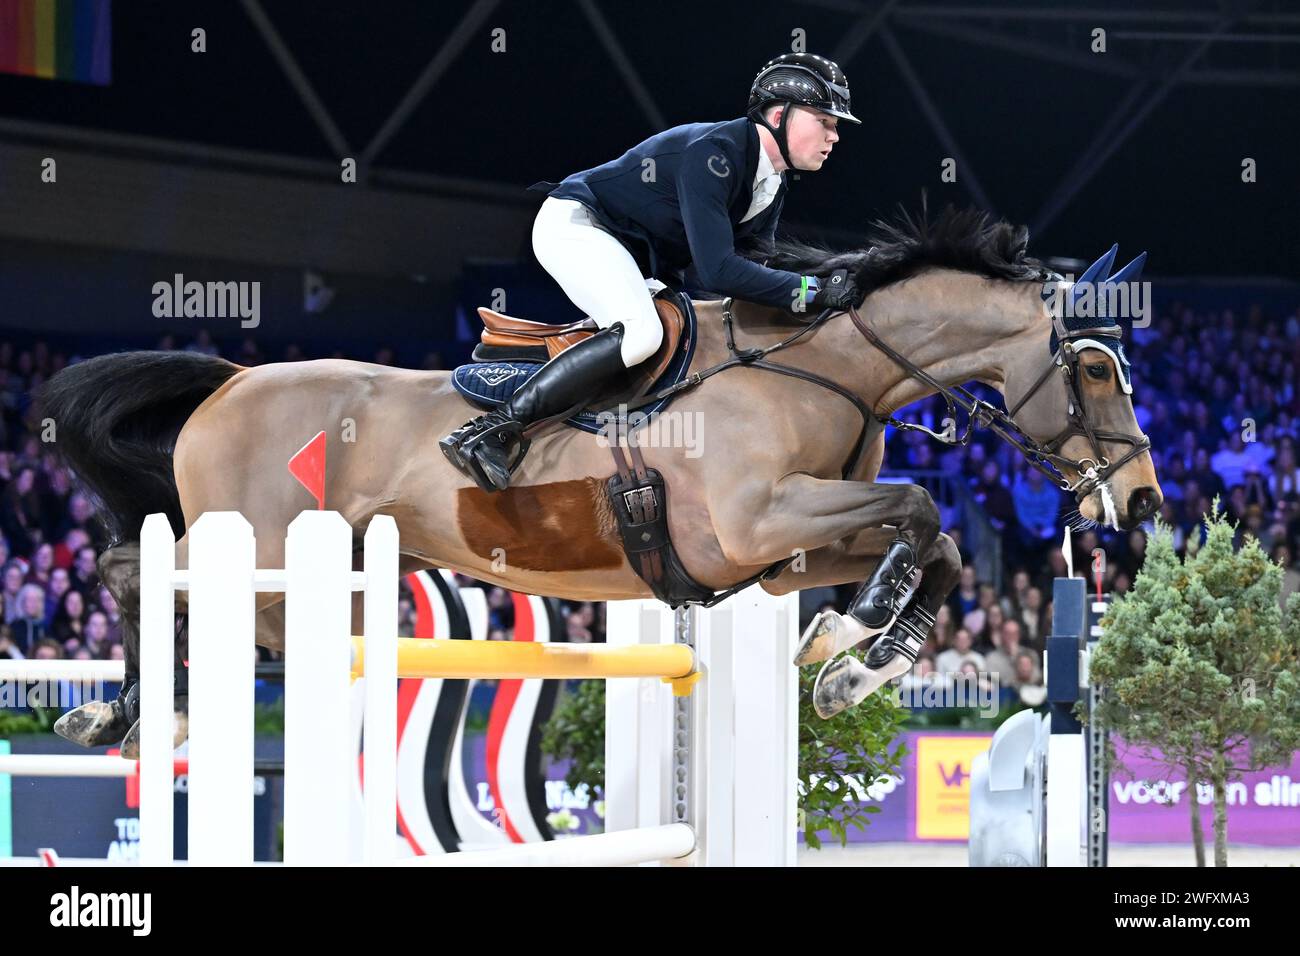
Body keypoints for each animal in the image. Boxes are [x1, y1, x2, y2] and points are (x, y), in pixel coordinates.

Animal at [38, 208, 1159, 754]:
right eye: (1096, 368)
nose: (1145, 500)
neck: (826, 367)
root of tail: (229, 380)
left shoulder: (775, 553)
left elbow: (936, 543)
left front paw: (851, 663)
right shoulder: (756, 523)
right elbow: (921, 509)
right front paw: (864, 629)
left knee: (155, 578)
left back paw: (127, 714)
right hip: (258, 543)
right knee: (139, 570)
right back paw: (138, 713)